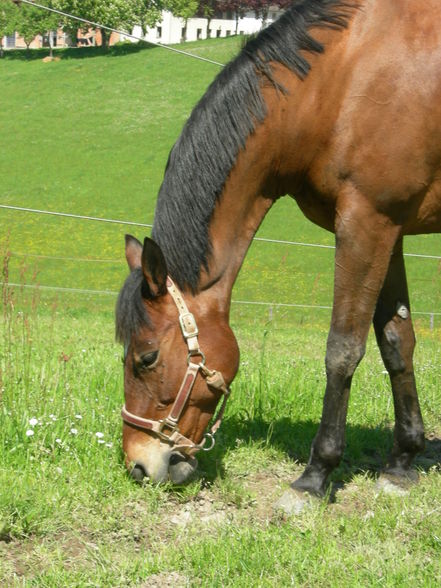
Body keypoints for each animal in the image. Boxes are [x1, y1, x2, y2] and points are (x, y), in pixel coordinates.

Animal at [116, 1, 440, 506]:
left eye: (146, 358)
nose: (138, 465)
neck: (339, 83)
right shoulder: (391, 229)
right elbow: (396, 343)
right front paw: (402, 462)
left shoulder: (365, 223)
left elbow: (342, 350)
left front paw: (316, 475)